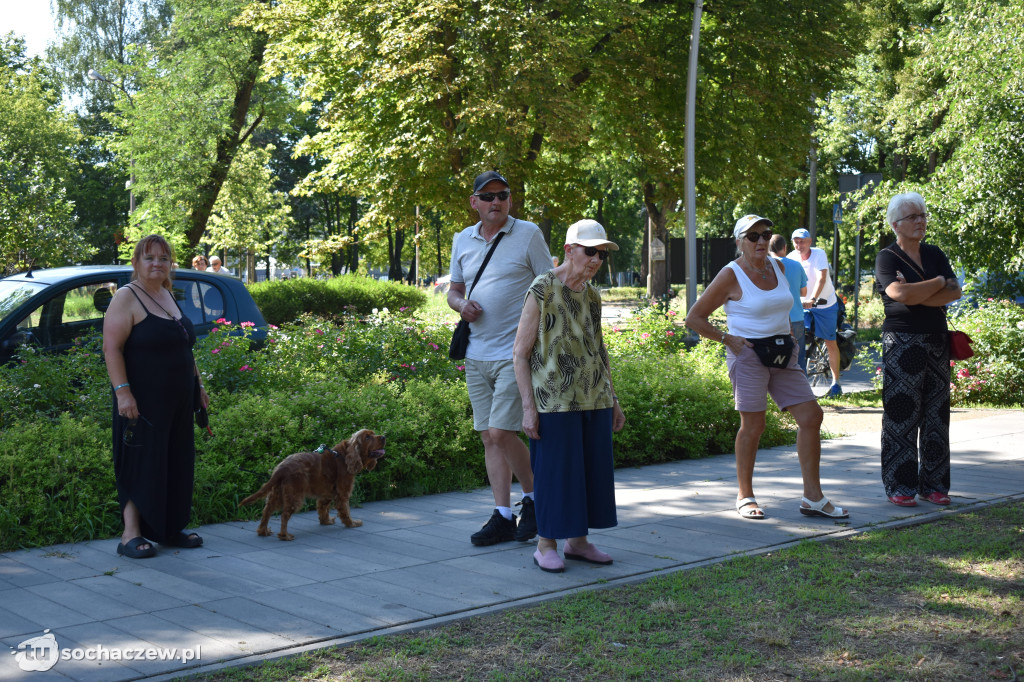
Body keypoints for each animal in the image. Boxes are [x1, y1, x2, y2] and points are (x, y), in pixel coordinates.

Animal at [237, 428, 385, 540]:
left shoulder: (326, 494)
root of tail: (281, 468)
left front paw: (326, 521)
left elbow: (323, 509)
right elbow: (345, 511)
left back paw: (263, 531)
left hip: (277, 494)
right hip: (294, 496)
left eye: (373, 434)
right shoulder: (342, 493)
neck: (344, 456)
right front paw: (352, 523)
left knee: (266, 511)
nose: (384, 437)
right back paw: (285, 536)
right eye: (367, 437)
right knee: (284, 515)